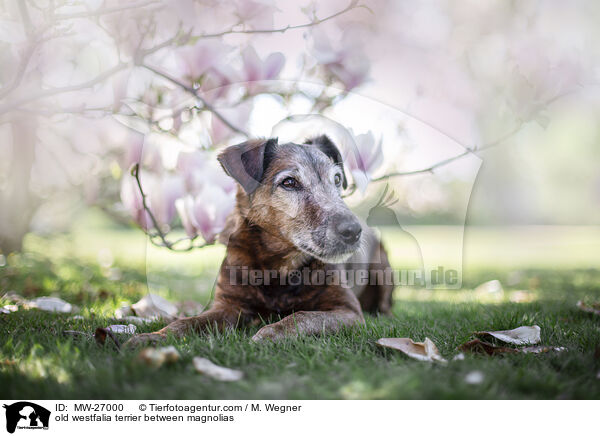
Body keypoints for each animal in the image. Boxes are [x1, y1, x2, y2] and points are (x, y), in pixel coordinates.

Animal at [125, 136, 394, 348]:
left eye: (337, 179)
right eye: (289, 182)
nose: (353, 231)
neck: (278, 265)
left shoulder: (349, 312)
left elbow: (302, 316)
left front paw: (270, 333)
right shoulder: (228, 305)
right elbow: (186, 322)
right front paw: (154, 337)